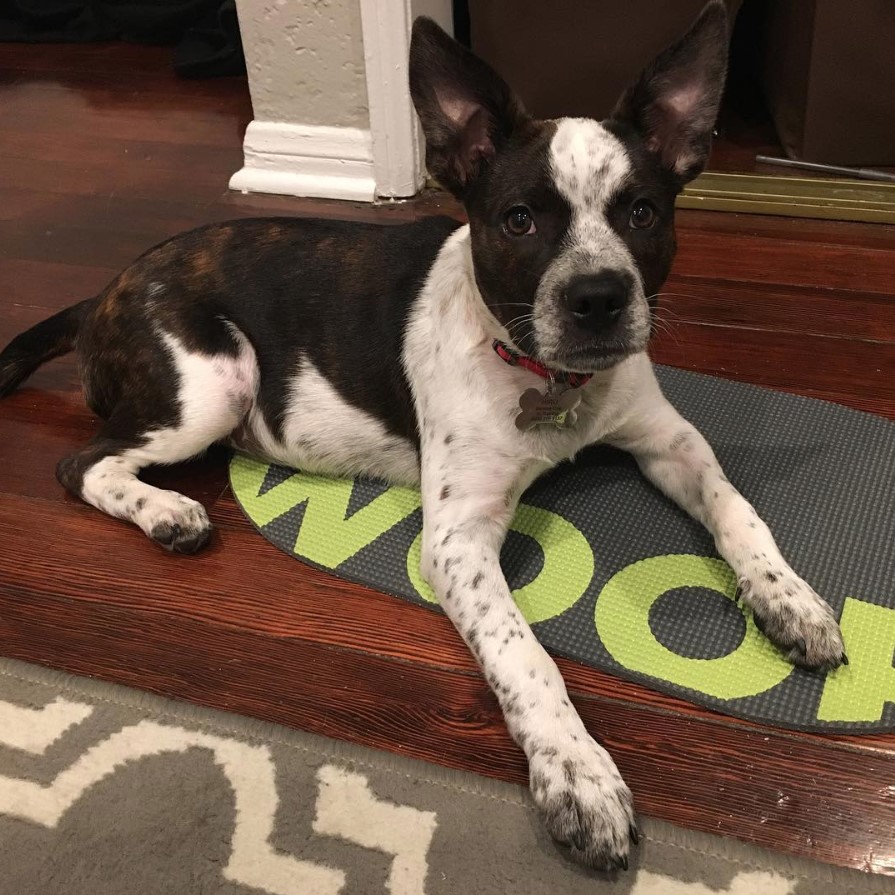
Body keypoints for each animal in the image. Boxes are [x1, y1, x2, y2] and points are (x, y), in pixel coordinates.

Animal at [0, 3, 848, 876]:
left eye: (641, 212)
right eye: (518, 219)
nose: (598, 297)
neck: (548, 380)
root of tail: (104, 291)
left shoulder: (670, 440)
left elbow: (737, 509)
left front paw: (788, 597)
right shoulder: (456, 540)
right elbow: (524, 655)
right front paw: (577, 773)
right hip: (214, 381)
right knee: (82, 461)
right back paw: (167, 511)